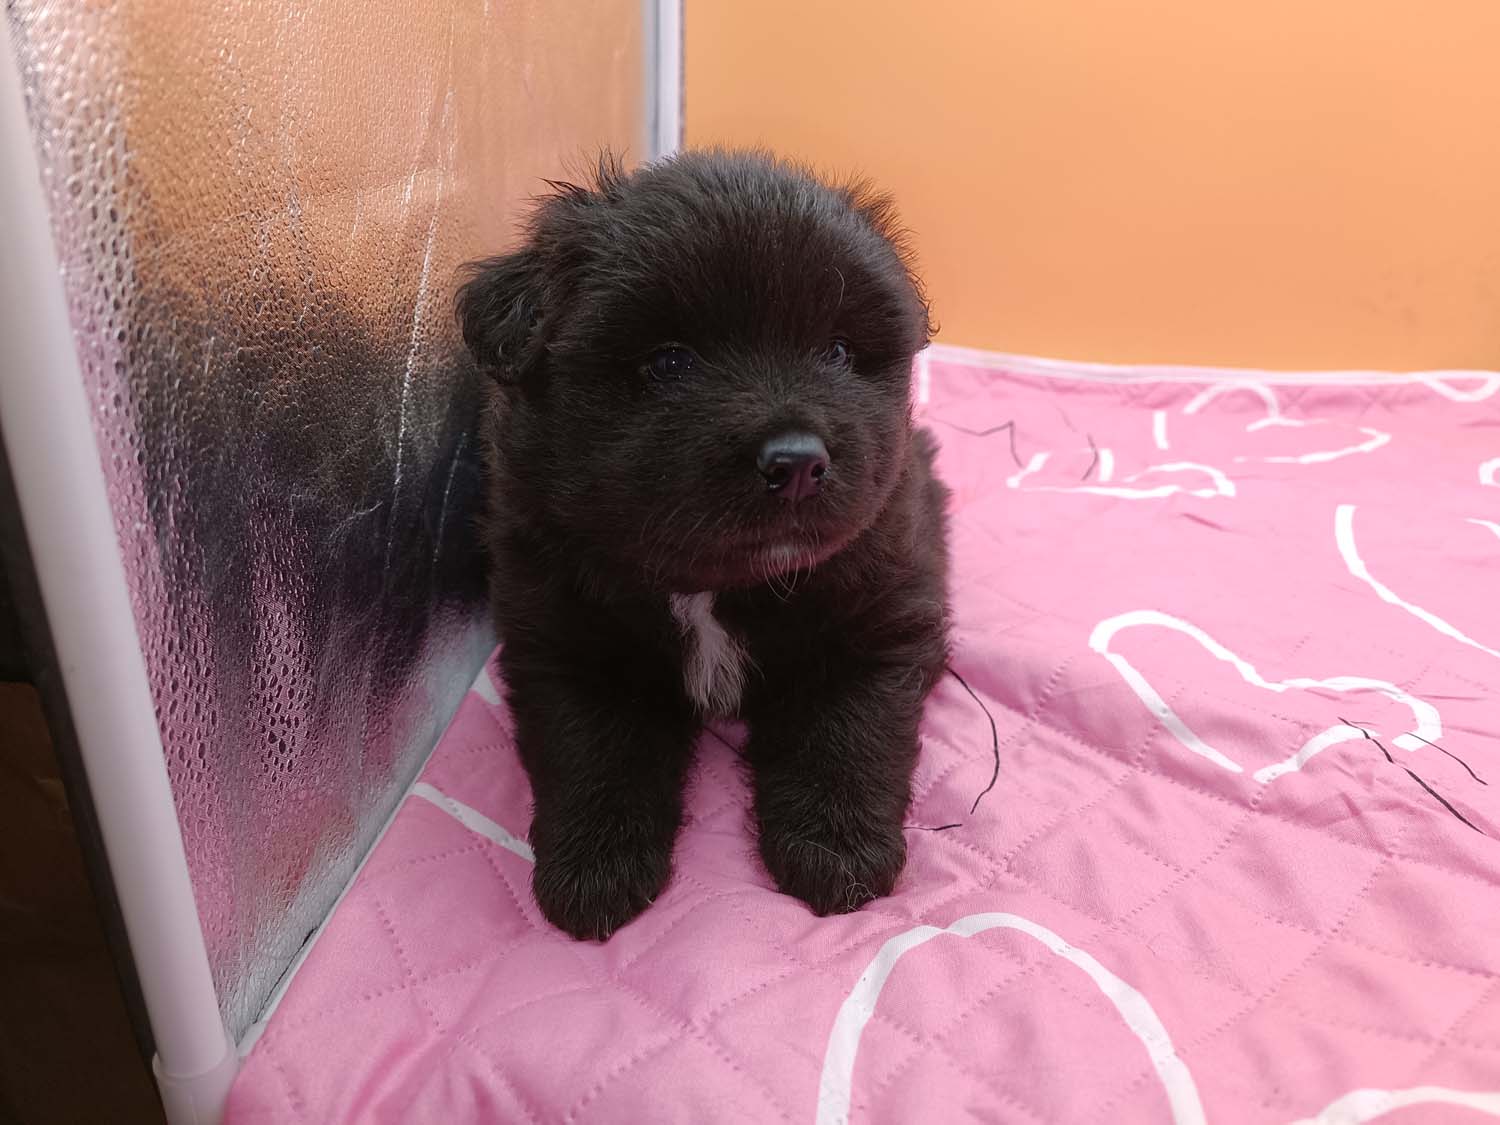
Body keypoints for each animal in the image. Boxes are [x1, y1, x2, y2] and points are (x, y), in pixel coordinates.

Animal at [455, 149, 951, 940]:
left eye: (838, 352)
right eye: (669, 362)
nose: (798, 462)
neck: (712, 587)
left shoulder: (878, 624)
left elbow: (847, 736)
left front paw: (836, 849)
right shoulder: (566, 642)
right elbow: (594, 750)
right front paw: (595, 866)